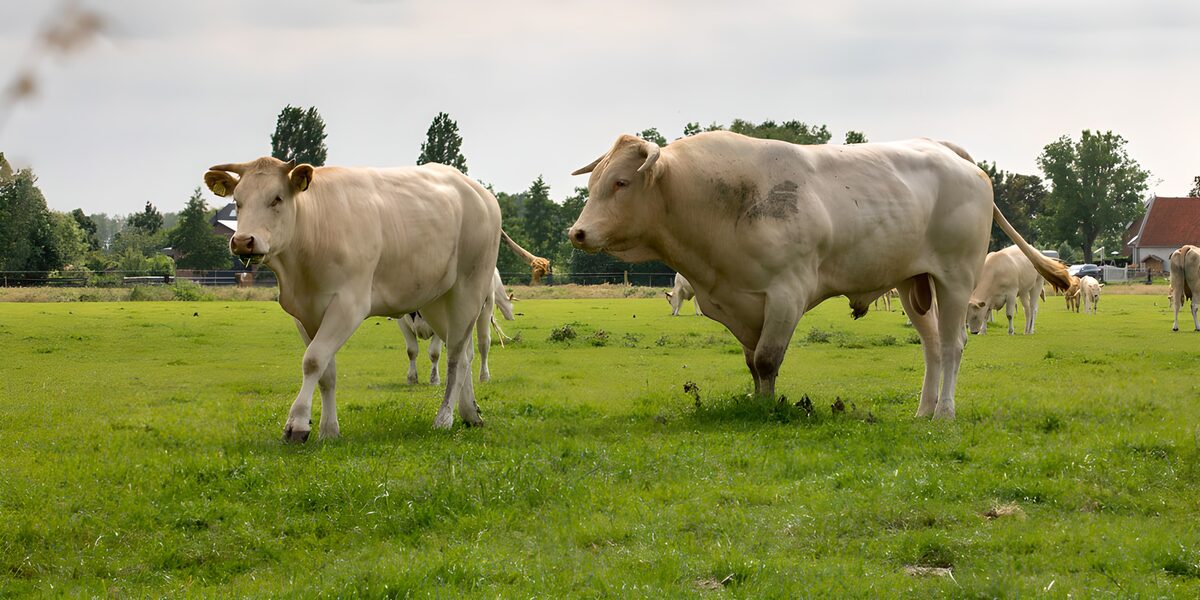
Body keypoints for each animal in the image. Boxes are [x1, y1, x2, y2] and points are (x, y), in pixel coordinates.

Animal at [203, 156, 520, 441]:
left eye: (277, 199)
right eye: (238, 201)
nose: (242, 240)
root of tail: (480, 192)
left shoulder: (348, 305)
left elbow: (313, 361)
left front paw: (298, 424)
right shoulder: (304, 314)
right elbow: (326, 370)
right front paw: (329, 430)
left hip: (470, 289)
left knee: (457, 357)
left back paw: (444, 418)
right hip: (437, 301)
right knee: (463, 352)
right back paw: (469, 413)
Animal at [567, 132, 1069, 419]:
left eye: (621, 183)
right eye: (593, 183)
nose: (577, 232)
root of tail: (951, 154)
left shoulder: (786, 294)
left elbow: (767, 360)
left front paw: (767, 409)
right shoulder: (741, 302)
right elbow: (752, 363)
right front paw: (758, 402)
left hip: (955, 279)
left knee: (953, 345)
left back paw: (944, 413)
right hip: (914, 284)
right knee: (931, 349)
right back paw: (922, 411)